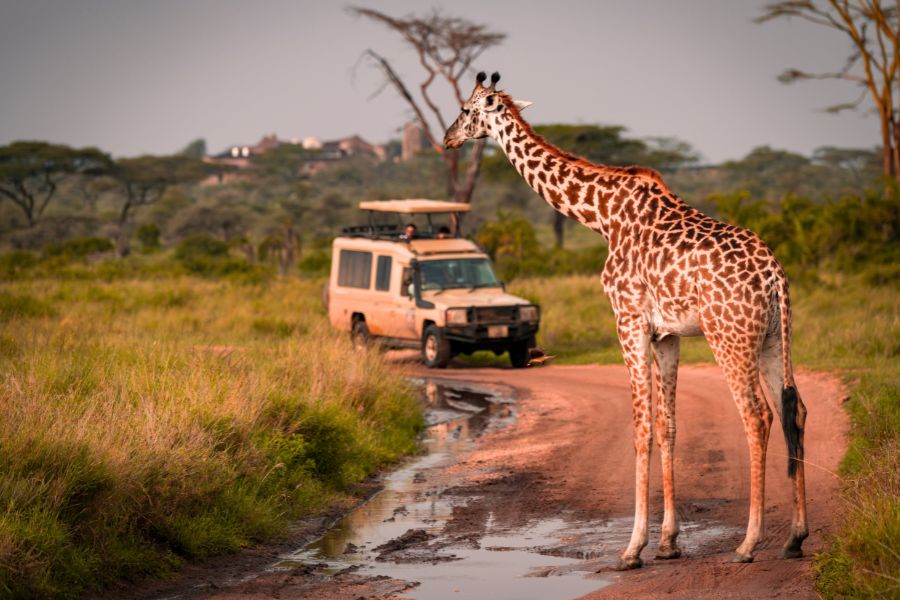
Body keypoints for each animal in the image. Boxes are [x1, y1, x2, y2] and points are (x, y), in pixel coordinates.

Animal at [444, 72, 808, 569]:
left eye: (466, 109)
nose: (447, 139)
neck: (601, 216)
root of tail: (775, 276)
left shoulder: (628, 320)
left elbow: (641, 428)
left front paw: (633, 548)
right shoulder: (667, 334)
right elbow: (669, 426)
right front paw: (669, 542)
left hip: (729, 335)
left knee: (757, 415)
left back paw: (749, 544)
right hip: (772, 338)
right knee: (795, 411)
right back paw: (795, 537)